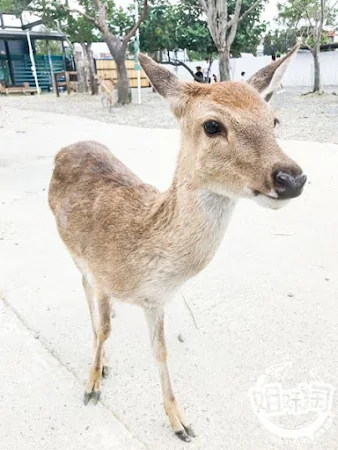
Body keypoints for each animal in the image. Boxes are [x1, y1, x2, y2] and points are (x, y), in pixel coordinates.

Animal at [48, 46, 306, 442]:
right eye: (212, 125)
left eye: (274, 120)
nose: (291, 178)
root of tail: (68, 147)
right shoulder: (101, 271)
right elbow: (104, 328)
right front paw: (91, 386)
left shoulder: (156, 301)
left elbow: (161, 352)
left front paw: (179, 421)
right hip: (72, 250)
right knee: (86, 292)